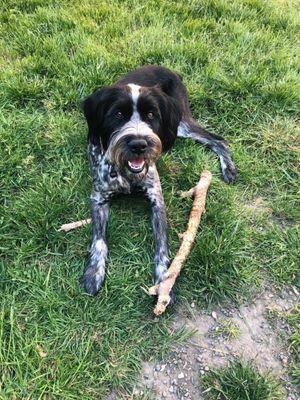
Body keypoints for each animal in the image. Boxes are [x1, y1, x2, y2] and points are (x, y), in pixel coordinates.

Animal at [81, 65, 237, 296]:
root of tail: (169, 70)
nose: (139, 144)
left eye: (151, 114)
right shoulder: (99, 198)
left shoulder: (157, 199)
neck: (126, 172)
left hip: (180, 124)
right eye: (118, 114)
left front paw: (165, 279)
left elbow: (161, 244)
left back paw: (229, 168)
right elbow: (99, 240)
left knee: (217, 139)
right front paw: (94, 272)